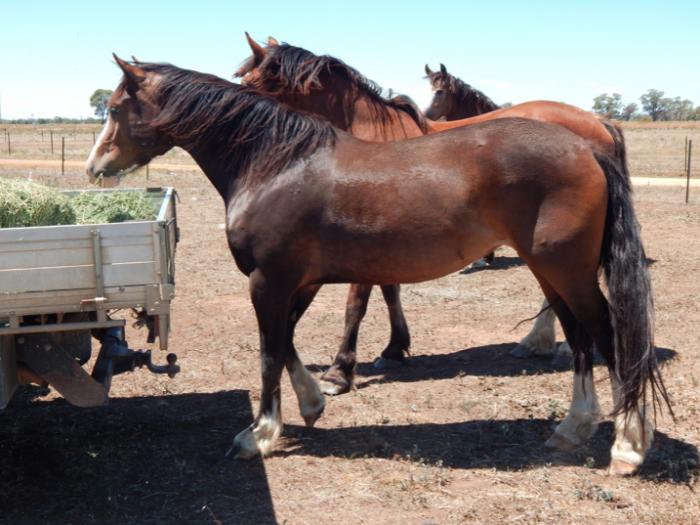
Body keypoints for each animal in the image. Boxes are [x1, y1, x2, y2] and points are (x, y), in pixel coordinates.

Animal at [234, 38, 626, 390]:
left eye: (252, 82)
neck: (370, 136)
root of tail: (598, 122)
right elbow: (390, 290)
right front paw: (394, 348)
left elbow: (356, 303)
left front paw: (339, 371)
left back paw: (541, 342)